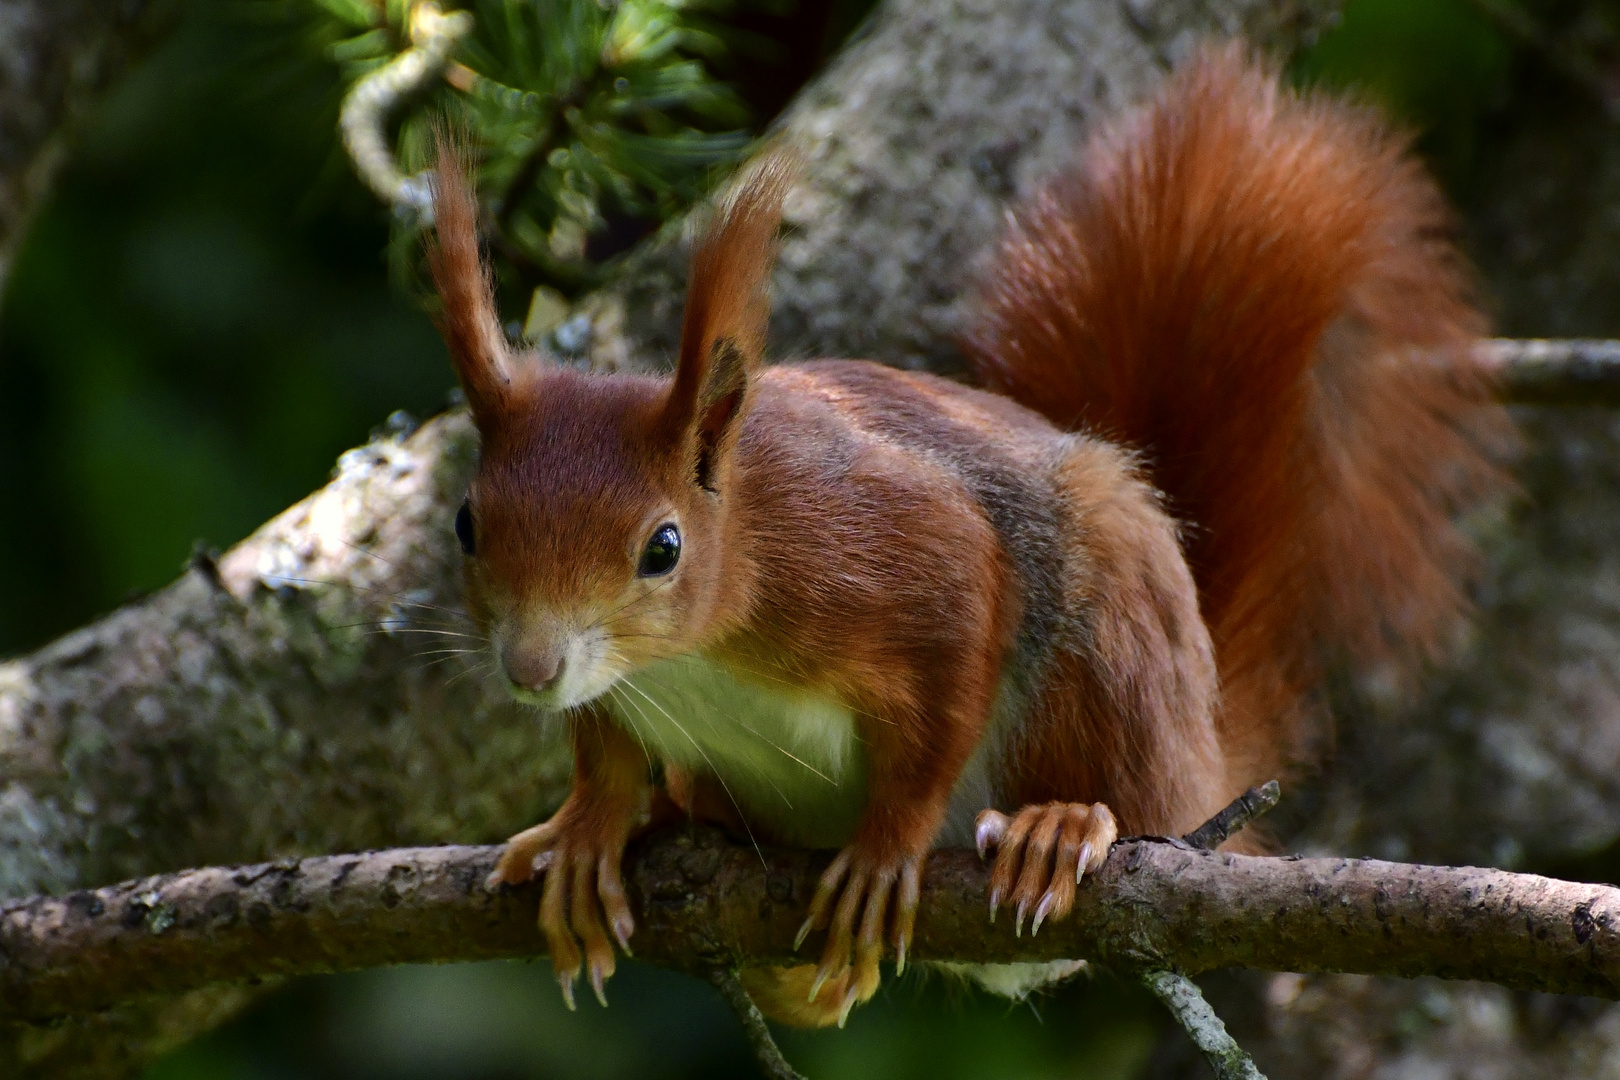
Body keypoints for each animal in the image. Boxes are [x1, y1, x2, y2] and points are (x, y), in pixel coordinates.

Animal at [427, 46, 1503, 1029]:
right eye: (467, 523)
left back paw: (1062, 825)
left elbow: (939, 705)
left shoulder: (898, 556)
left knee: (1120, 795)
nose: (530, 669)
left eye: (663, 547)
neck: (692, 652)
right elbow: (603, 753)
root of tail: (1204, 767)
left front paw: (885, 850)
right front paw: (588, 828)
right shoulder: (615, 689)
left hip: (1107, 656)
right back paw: (674, 814)